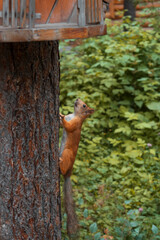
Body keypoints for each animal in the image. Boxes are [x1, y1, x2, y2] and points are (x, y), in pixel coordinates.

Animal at [59, 98, 94, 237]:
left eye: (84, 105)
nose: (77, 99)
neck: (74, 115)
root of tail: (69, 173)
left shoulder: (75, 124)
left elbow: (68, 127)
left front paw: (61, 116)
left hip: (67, 152)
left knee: (63, 168)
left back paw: (59, 163)